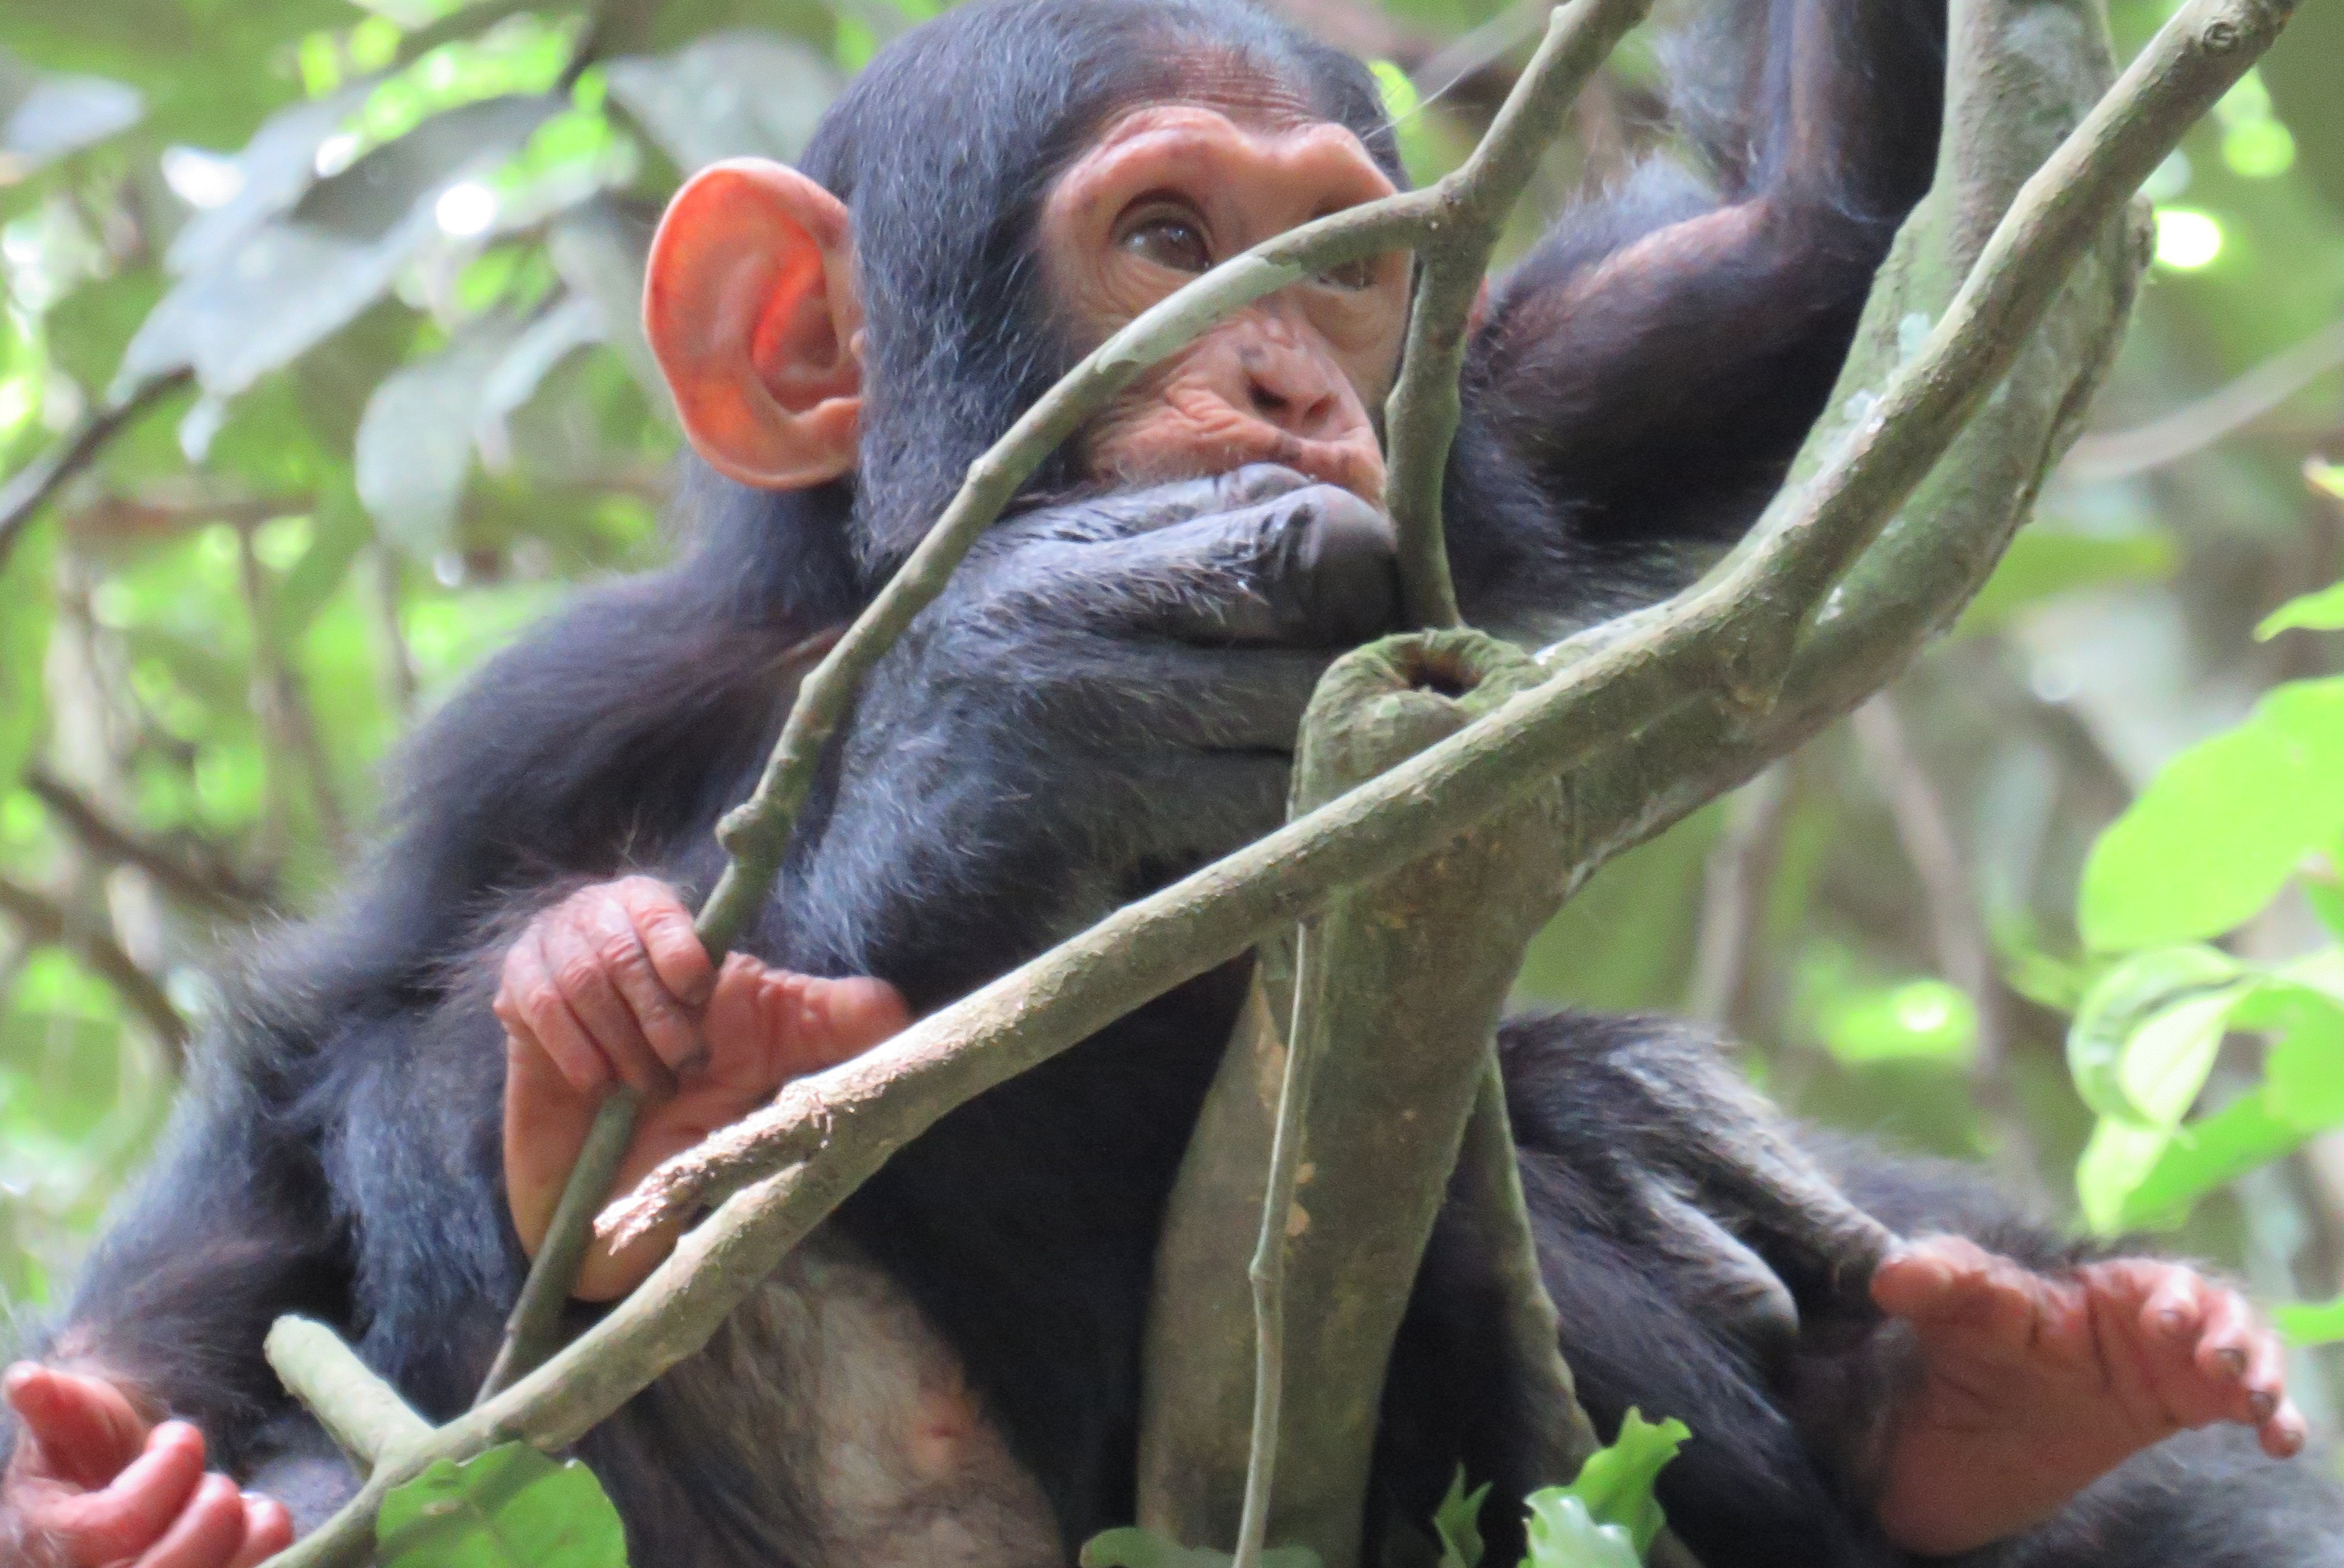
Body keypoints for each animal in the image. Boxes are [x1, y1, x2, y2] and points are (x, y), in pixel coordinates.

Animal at [7, 1, 2342, 1566]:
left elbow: (1804, 245)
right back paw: (612, 1061)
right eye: (1161, 236)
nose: (1293, 378)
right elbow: (313, 1085)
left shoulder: (1513, 415)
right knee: (431, 1079)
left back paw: (1972, 1401)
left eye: (1344, 262)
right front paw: (84, 1472)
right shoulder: (549, 725)